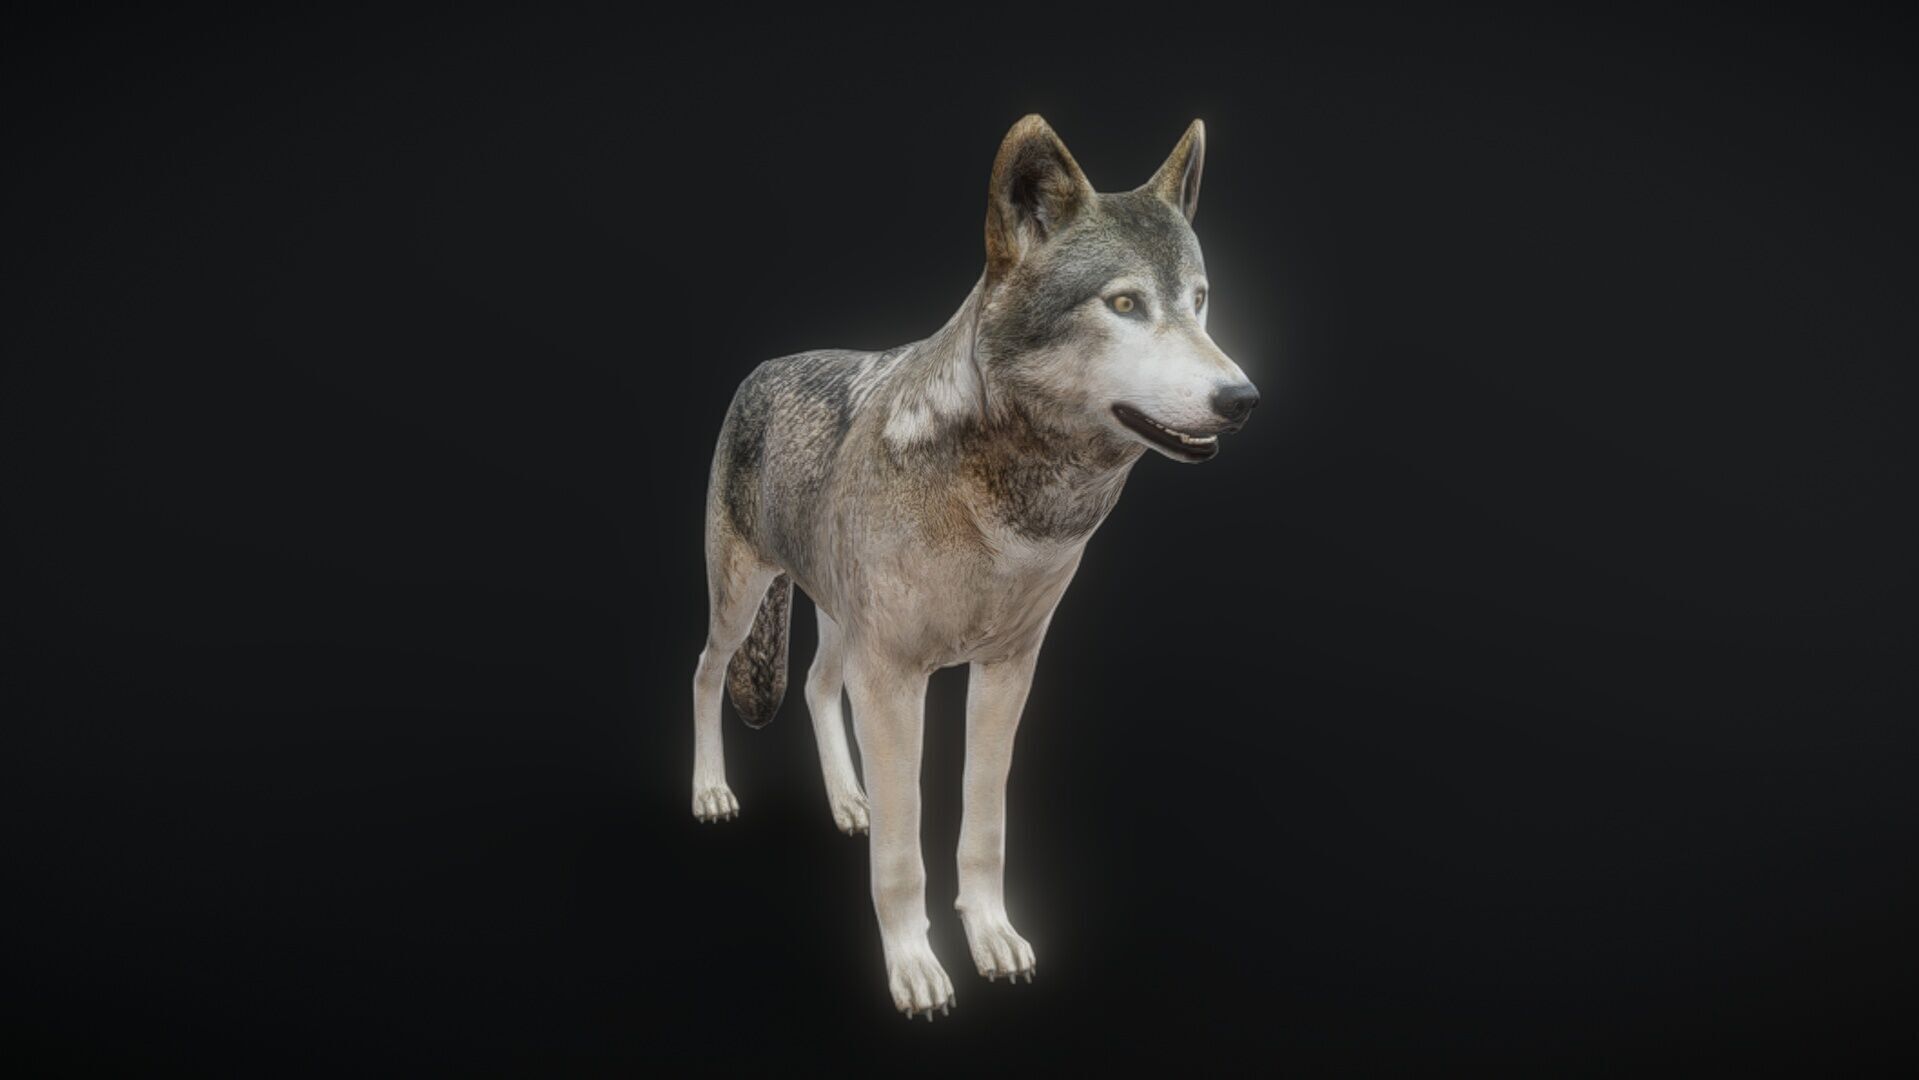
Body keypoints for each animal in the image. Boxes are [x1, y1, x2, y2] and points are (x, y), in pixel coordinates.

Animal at [689, 115, 1258, 1018]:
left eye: (1200, 302)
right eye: (1124, 304)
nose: (1241, 399)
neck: (1009, 510)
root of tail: (763, 368)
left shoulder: (1006, 672)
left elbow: (983, 825)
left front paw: (992, 936)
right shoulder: (893, 680)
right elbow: (900, 851)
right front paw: (914, 967)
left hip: (836, 618)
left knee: (813, 684)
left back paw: (845, 800)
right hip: (742, 598)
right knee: (706, 672)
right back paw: (711, 793)